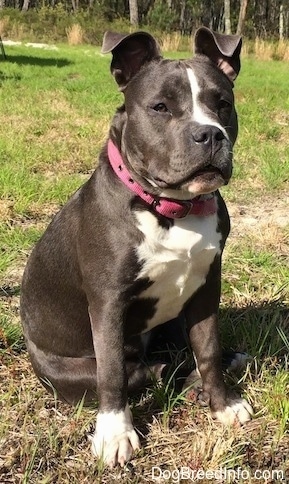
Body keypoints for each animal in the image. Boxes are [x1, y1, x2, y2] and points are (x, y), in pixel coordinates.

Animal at [20, 27, 251, 468]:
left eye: (223, 104)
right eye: (160, 107)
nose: (210, 133)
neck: (171, 208)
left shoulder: (206, 287)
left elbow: (208, 348)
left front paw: (223, 404)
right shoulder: (109, 302)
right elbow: (112, 372)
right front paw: (115, 434)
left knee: (180, 352)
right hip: (70, 369)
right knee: (137, 372)